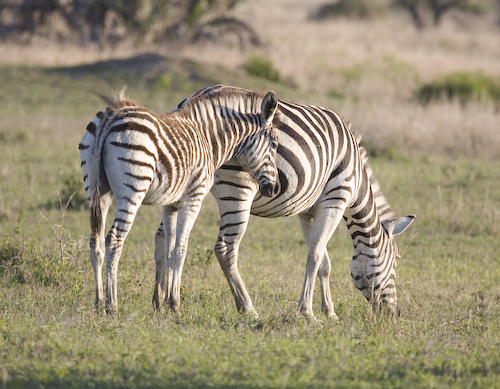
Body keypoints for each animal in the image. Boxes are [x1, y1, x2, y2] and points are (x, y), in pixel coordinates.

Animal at [79, 88, 280, 312]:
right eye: (274, 145)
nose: (274, 189)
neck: (208, 139)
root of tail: (111, 115)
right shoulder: (194, 199)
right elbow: (180, 249)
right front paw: (175, 304)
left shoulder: (170, 204)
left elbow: (168, 249)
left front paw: (164, 302)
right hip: (131, 190)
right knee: (114, 239)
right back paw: (112, 305)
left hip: (97, 190)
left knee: (95, 242)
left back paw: (98, 302)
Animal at [155, 85, 414, 318]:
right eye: (397, 259)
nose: (394, 314)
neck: (357, 177)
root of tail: (188, 102)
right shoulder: (335, 199)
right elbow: (315, 256)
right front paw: (307, 312)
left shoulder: (307, 211)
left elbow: (323, 261)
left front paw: (329, 312)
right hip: (237, 188)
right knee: (225, 248)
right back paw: (247, 308)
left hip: (181, 184)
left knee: (162, 238)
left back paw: (159, 301)